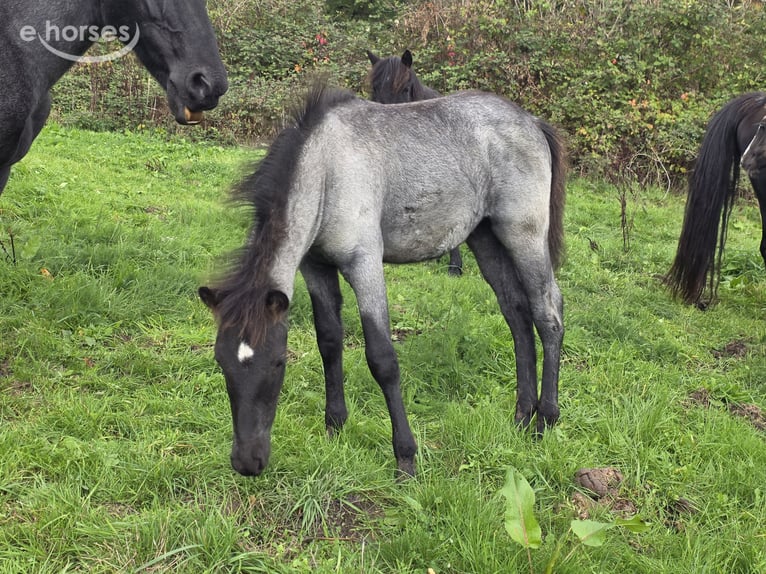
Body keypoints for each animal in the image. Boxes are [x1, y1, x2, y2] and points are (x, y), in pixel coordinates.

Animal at [199, 82, 567, 478]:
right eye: (221, 361)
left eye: (278, 362)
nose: (247, 462)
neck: (326, 170)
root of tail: (531, 121)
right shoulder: (316, 268)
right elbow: (329, 341)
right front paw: (335, 426)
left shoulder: (365, 265)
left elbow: (382, 358)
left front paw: (406, 457)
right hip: (484, 238)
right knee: (516, 313)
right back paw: (522, 415)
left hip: (524, 237)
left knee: (547, 313)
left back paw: (546, 419)